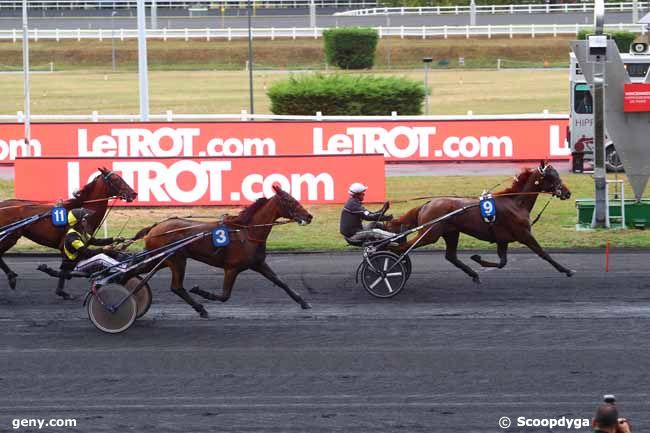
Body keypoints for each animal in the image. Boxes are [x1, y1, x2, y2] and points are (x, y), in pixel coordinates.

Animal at [0, 166, 137, 296]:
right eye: (115, 179)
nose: (134, 193)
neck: (82, 211)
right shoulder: (66, 245)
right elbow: (66, 269)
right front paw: (61, 291)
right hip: (9, 238)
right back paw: (11, 277)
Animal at [132, 183, 312, 318]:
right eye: (289, 200)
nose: (309, 216)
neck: (247, 232)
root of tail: (154, 228)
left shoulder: (258, 263)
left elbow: (280, 282)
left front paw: (303, 302)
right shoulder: (232, 268)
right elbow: (225, 296)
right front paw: (203, 292)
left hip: (160, 259)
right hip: (176, 259)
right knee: (176, 287)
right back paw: (200, 308)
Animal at [384, 160, 572, 282]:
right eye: (552, 176)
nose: (567, 192)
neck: (516, 202)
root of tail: (427, 204)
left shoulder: (502, 239)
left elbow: (502, 262)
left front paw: (477, 258)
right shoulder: (524, 234)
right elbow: (543, 253)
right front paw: (566, 270)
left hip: (451, 233)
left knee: (450, 256)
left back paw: (473, 274)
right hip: (430, 235)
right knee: (400, 248)